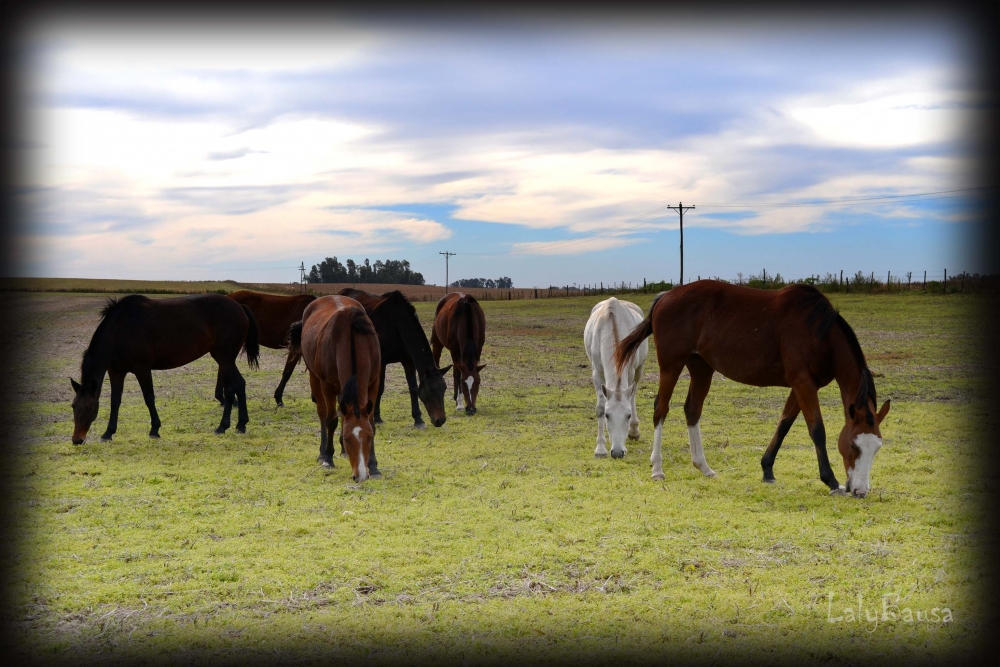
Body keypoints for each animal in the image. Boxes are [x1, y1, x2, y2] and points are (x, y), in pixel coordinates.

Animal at [71, 294, 262, 446]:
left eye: (89, 408)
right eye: (73, 406)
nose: (77, 440)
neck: (120, 329)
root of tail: (240, 306)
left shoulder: (142, 369)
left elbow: (149, 398)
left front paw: (154, 429)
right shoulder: (116, 372)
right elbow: (115, 401)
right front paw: (108, 433)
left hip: (224, 358)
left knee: (232, 388)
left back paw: (224, 426)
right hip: (225, 359)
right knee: (238, 386)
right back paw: (239, 425)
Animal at [292, 296, 384, 480]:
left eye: (369, 437)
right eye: (348, 438)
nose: (360, 475)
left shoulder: (374, 382)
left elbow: (370, 421)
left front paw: (374, 466)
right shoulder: (327, 385)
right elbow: (331, 420)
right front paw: (328, 458)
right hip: (315, 377)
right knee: (322, 413)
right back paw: (323, 453)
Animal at [338, 290, 452, 430]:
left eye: (444, 388)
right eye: (431, 390)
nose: (440, 420)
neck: (398, 323)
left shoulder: (408, 361)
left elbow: (413, 388)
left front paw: (418, 419)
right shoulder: (382, 362)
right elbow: (380, 388)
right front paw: (377, 417)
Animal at [584, 298, 648, 460]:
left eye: (628, 415)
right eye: (607, 415)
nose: (618, 453)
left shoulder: (630, 371)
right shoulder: (597, 373)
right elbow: (600, 407)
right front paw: (600, 449)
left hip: (639, 369)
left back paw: (634, 432)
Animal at [616, 282, 892, 496]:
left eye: (877, 448)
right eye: (854, 446)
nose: (860, 491)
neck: (819, 332)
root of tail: (666, 296)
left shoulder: (800, 385)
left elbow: (784, 424)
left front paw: (767, 469)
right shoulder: (803, 383)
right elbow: (817, 430)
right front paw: (832, 481)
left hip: (701, 367)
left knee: (692, 410)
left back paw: (703, 467)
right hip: (671, 365)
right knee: (660, 410)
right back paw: (657, 468)